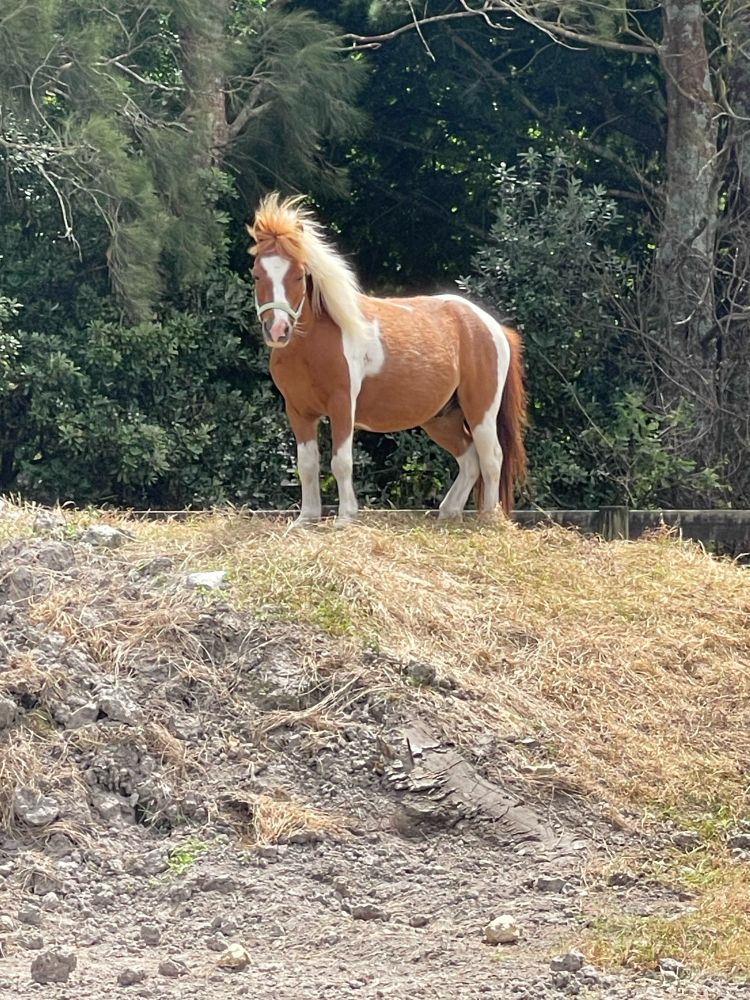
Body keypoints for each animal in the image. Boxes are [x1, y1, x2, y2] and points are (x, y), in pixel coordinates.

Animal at [247, 193, 527, 527]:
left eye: (299, 275)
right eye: (257, 274)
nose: (278, 330)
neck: (311, 348)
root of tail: (492, 326)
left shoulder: (342, 405)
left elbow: (341, 462)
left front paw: (345, 518)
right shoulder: (299, 411)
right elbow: (307, 464)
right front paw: (307, 518)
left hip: (480, 410)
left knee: (491, 456)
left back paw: (488, 518)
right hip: (442, 417)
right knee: (470, 458)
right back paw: (449, 512)